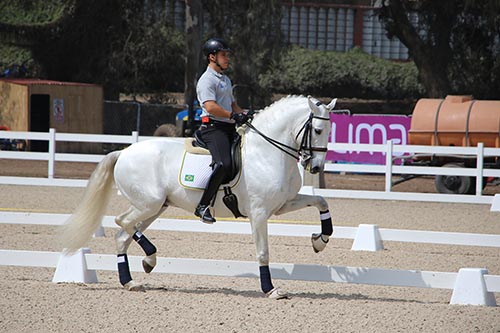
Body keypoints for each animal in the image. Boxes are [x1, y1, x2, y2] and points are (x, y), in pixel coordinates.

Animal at [62, 95, 336, 298]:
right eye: (318, 130)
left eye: (328, 132)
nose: (316, 167)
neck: (267, 152)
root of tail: (123, 152)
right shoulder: (259, 213)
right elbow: (263, 252)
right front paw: (271, 289)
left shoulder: (282, 205)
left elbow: (321, 201)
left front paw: (320, 240)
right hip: (148, 203)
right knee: (123, 222)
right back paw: (147, 259)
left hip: (156, 207)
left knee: (123, 234)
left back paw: (133, 278)